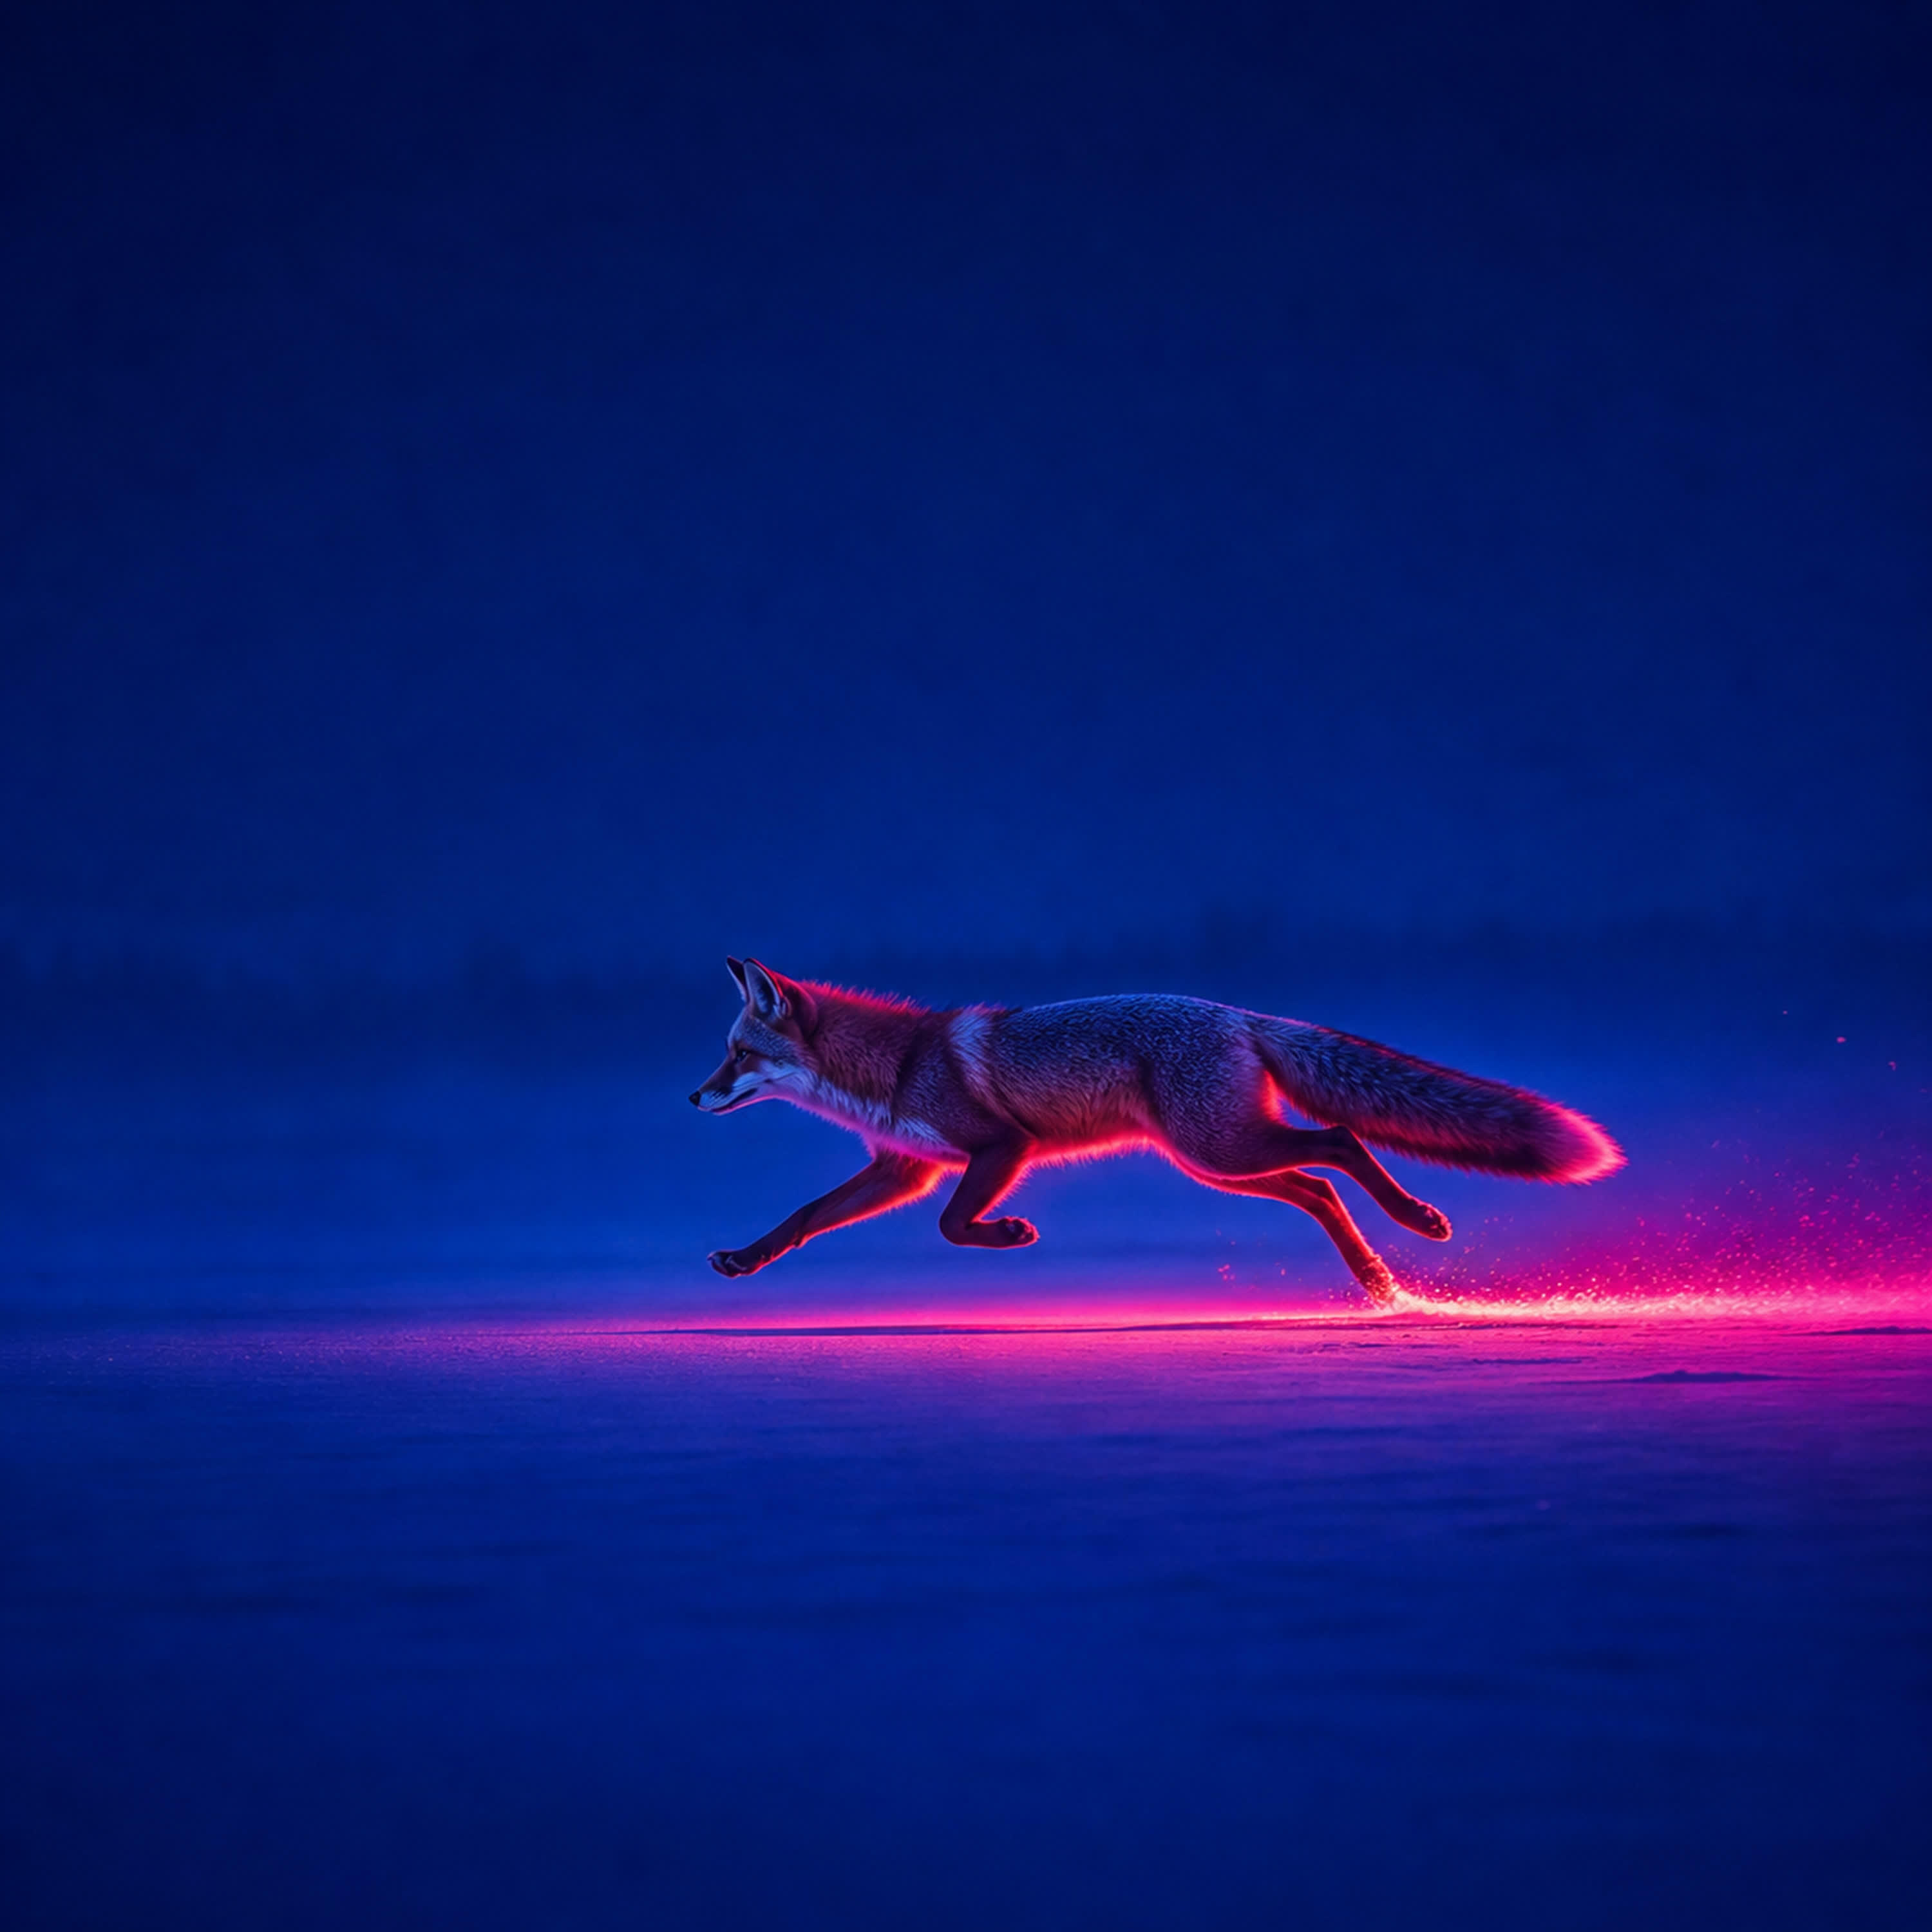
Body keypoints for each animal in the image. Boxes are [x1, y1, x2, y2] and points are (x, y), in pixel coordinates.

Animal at [690, 958, 1623, 1306]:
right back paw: (1378, 1282)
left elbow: (955, 1225)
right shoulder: (902, 1169)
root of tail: (1240, 1012)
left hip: (1221, 1148)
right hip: (1217, 1161)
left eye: (737, 1054)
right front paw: (745, 1259)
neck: (894, 1069)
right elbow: (804, 1218)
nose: (695, 1097)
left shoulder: (999, 1147)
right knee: (1317, 1185)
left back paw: (1416, 1223)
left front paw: (1012, 1233)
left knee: (1338, 1141)